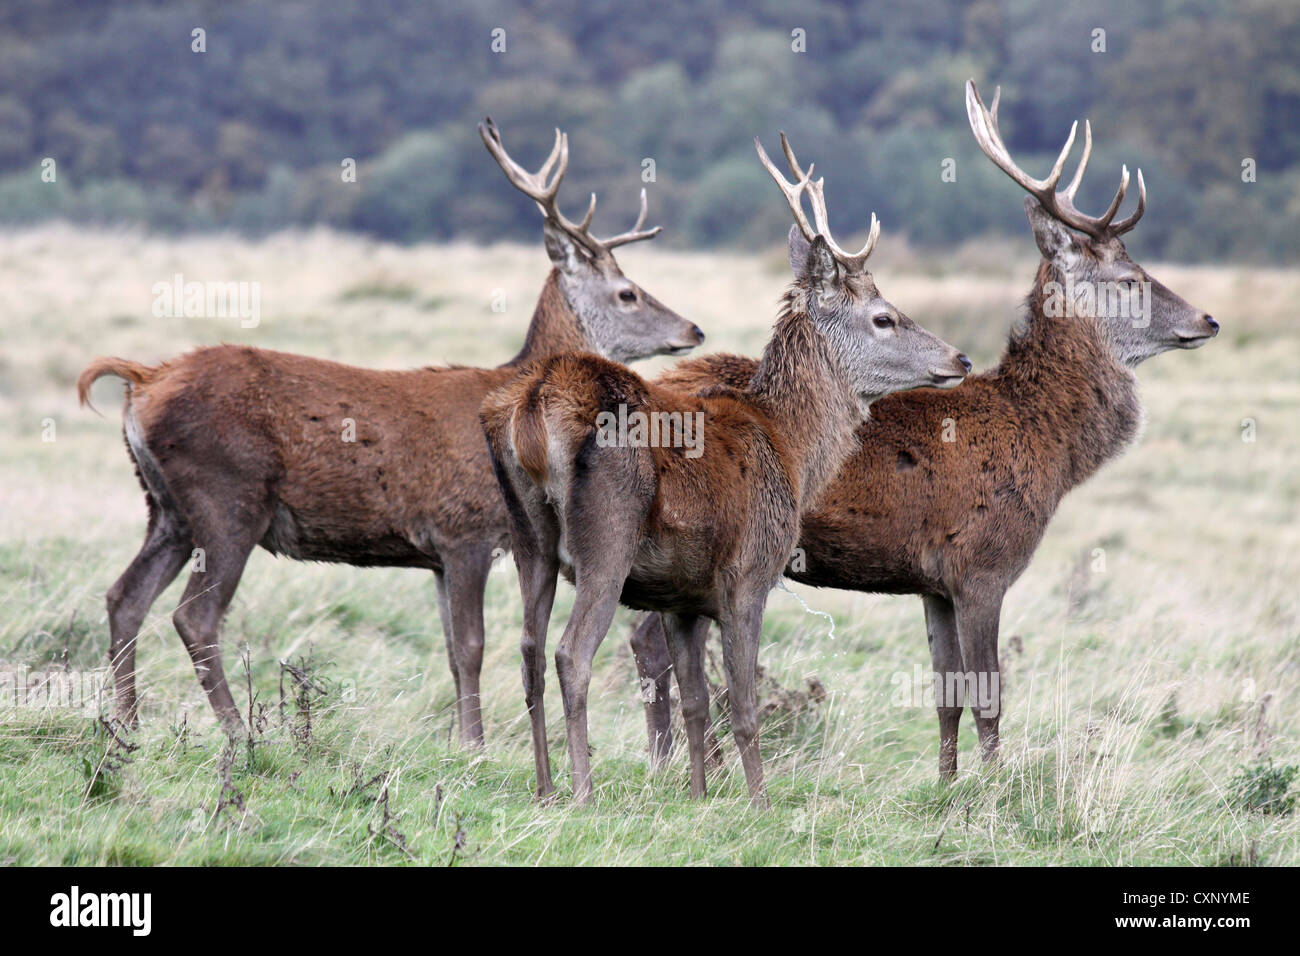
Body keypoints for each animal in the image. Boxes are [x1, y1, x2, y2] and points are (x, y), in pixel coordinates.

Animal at [76, 119, 707, 749]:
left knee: (124, 596)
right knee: (194, 615)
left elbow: (451, 651)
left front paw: (463, 739)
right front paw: (474, 746)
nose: (693, 329)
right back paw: (239, 732)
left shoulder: (436, 556)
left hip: (166, 508)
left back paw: (127, 727)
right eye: (628, 292)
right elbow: (473, 647)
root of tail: (144, 379)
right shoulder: (463, 530)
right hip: (227, 497)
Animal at [483, 134, 972, 806]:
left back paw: (544, 789)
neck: (792, 450)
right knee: (570, 653)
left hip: (528, 537)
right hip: (607, 537)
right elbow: (740, 703)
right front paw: (758, 800)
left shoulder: (680, 595)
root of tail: (532, 407)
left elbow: (693, 702)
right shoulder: (749, 572)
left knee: (529, 651)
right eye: (884, 317)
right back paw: (582, 792)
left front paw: (697, 794)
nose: (961, 357)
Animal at [629, 80, 1216, 780]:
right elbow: (989, 694)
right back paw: (683, 768)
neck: (1047, 443)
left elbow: (946, 695)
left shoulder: (933, 583)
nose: (1208, 319)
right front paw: (993, 789)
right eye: (1131, 280)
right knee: (647, 637)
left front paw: (946, 785)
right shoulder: (984, 561)